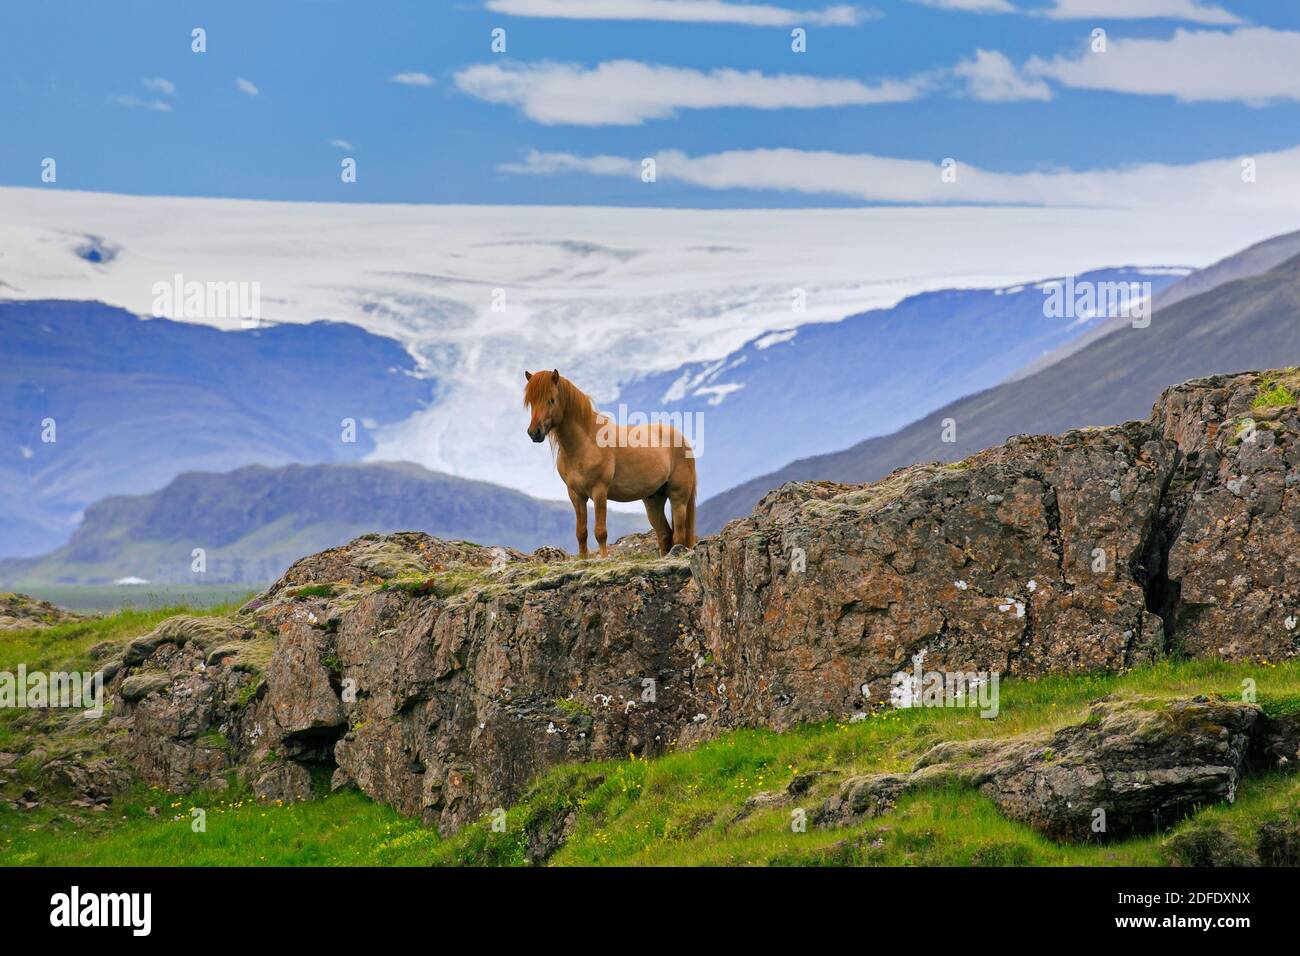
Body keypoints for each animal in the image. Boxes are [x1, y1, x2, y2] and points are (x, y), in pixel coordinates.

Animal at [524, 369, 697, 558]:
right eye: (531, 402)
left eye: (551, 400)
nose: (534, 433)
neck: (586, 442)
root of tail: (683, 439)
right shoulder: (575, 494)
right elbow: (581, 532)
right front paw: (583, 559)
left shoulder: (599, 491)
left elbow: (600, 532)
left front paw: (603, 557)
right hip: (654, 499)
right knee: (664, 533)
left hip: (678, 498)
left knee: (679, 534)